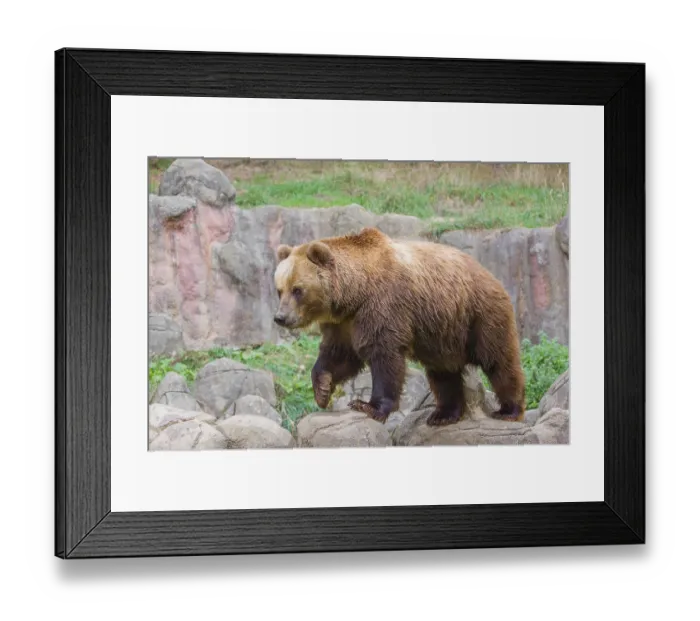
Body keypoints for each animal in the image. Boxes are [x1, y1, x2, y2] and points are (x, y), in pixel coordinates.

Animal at [273, 227, 525, 426]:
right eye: (279, 289)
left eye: (297, 289)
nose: (280, 317)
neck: (355, 293)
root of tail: (491, 274)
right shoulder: (344, 323)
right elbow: (339, 354)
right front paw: (323, 389)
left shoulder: (384, 306)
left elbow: (384, 355)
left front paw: (368, 405)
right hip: (443, 335)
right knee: (443, 372)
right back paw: (444, 414)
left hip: (479, 316)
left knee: (498, 360)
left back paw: (508, 410)